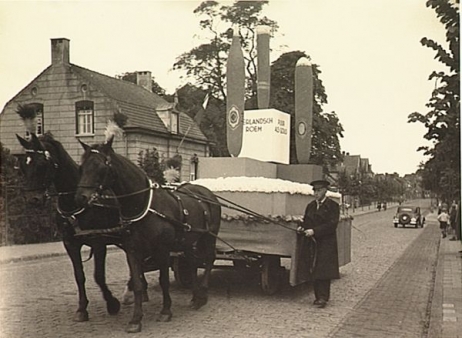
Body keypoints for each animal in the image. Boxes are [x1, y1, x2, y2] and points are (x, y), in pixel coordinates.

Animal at [15, 132, 143, 322]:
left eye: (41, 165)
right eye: (23, 165)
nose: (33, 199)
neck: (75, 204)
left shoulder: (99, 242)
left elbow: (98, 276)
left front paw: (112, 303)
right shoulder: (70, 243)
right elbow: (79, 276)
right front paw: (82, 309)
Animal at [75, 136, 221, 334]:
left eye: (101, 167)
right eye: (81, 167)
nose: (80, 198)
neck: (144, 206)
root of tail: (208, 193)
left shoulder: (163, 250)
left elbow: (163, 280)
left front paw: (166, 311)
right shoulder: (132, 251)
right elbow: (137, 284)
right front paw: (136, 319)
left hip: (209, 236)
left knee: (209, 259)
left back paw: (203, 293)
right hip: (188, 241)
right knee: (192, 263)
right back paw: (195, 297)